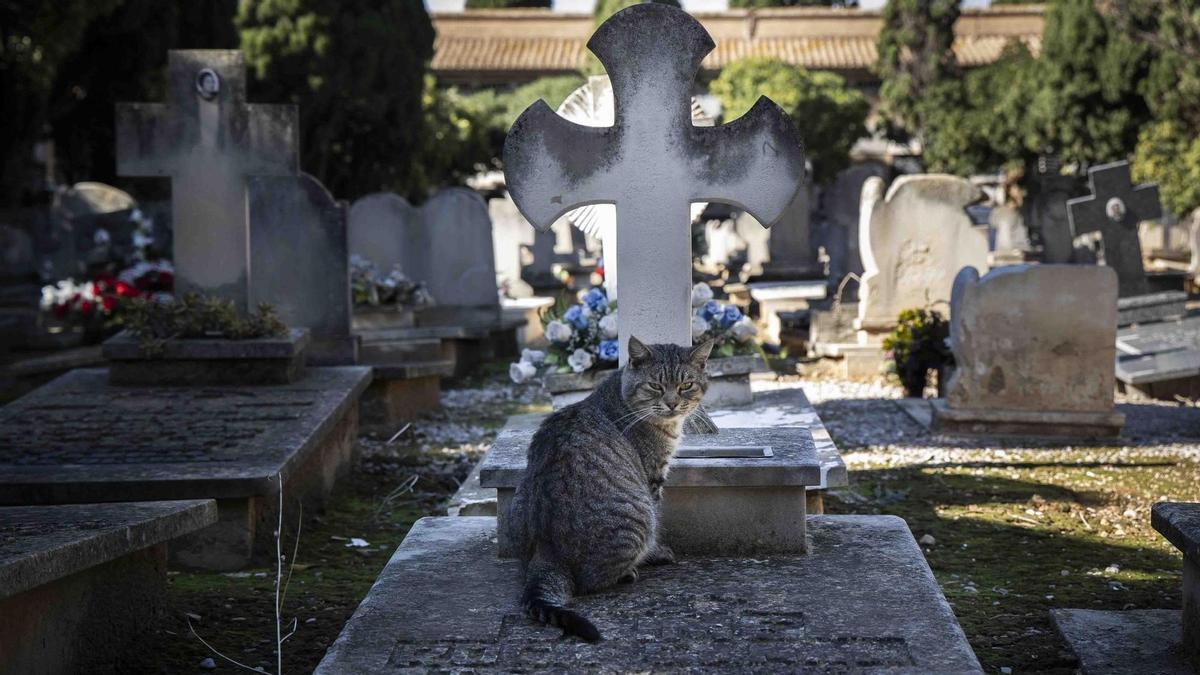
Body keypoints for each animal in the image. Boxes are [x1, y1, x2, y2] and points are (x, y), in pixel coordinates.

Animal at [504, 333, 710, 638]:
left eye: (686, 385)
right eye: (655, 385)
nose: (672, 403)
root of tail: (547, 551)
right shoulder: (652, 479)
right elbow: (657, 522)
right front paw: (657, 553)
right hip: (637, 518)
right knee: (591, 582)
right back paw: (628, 572)